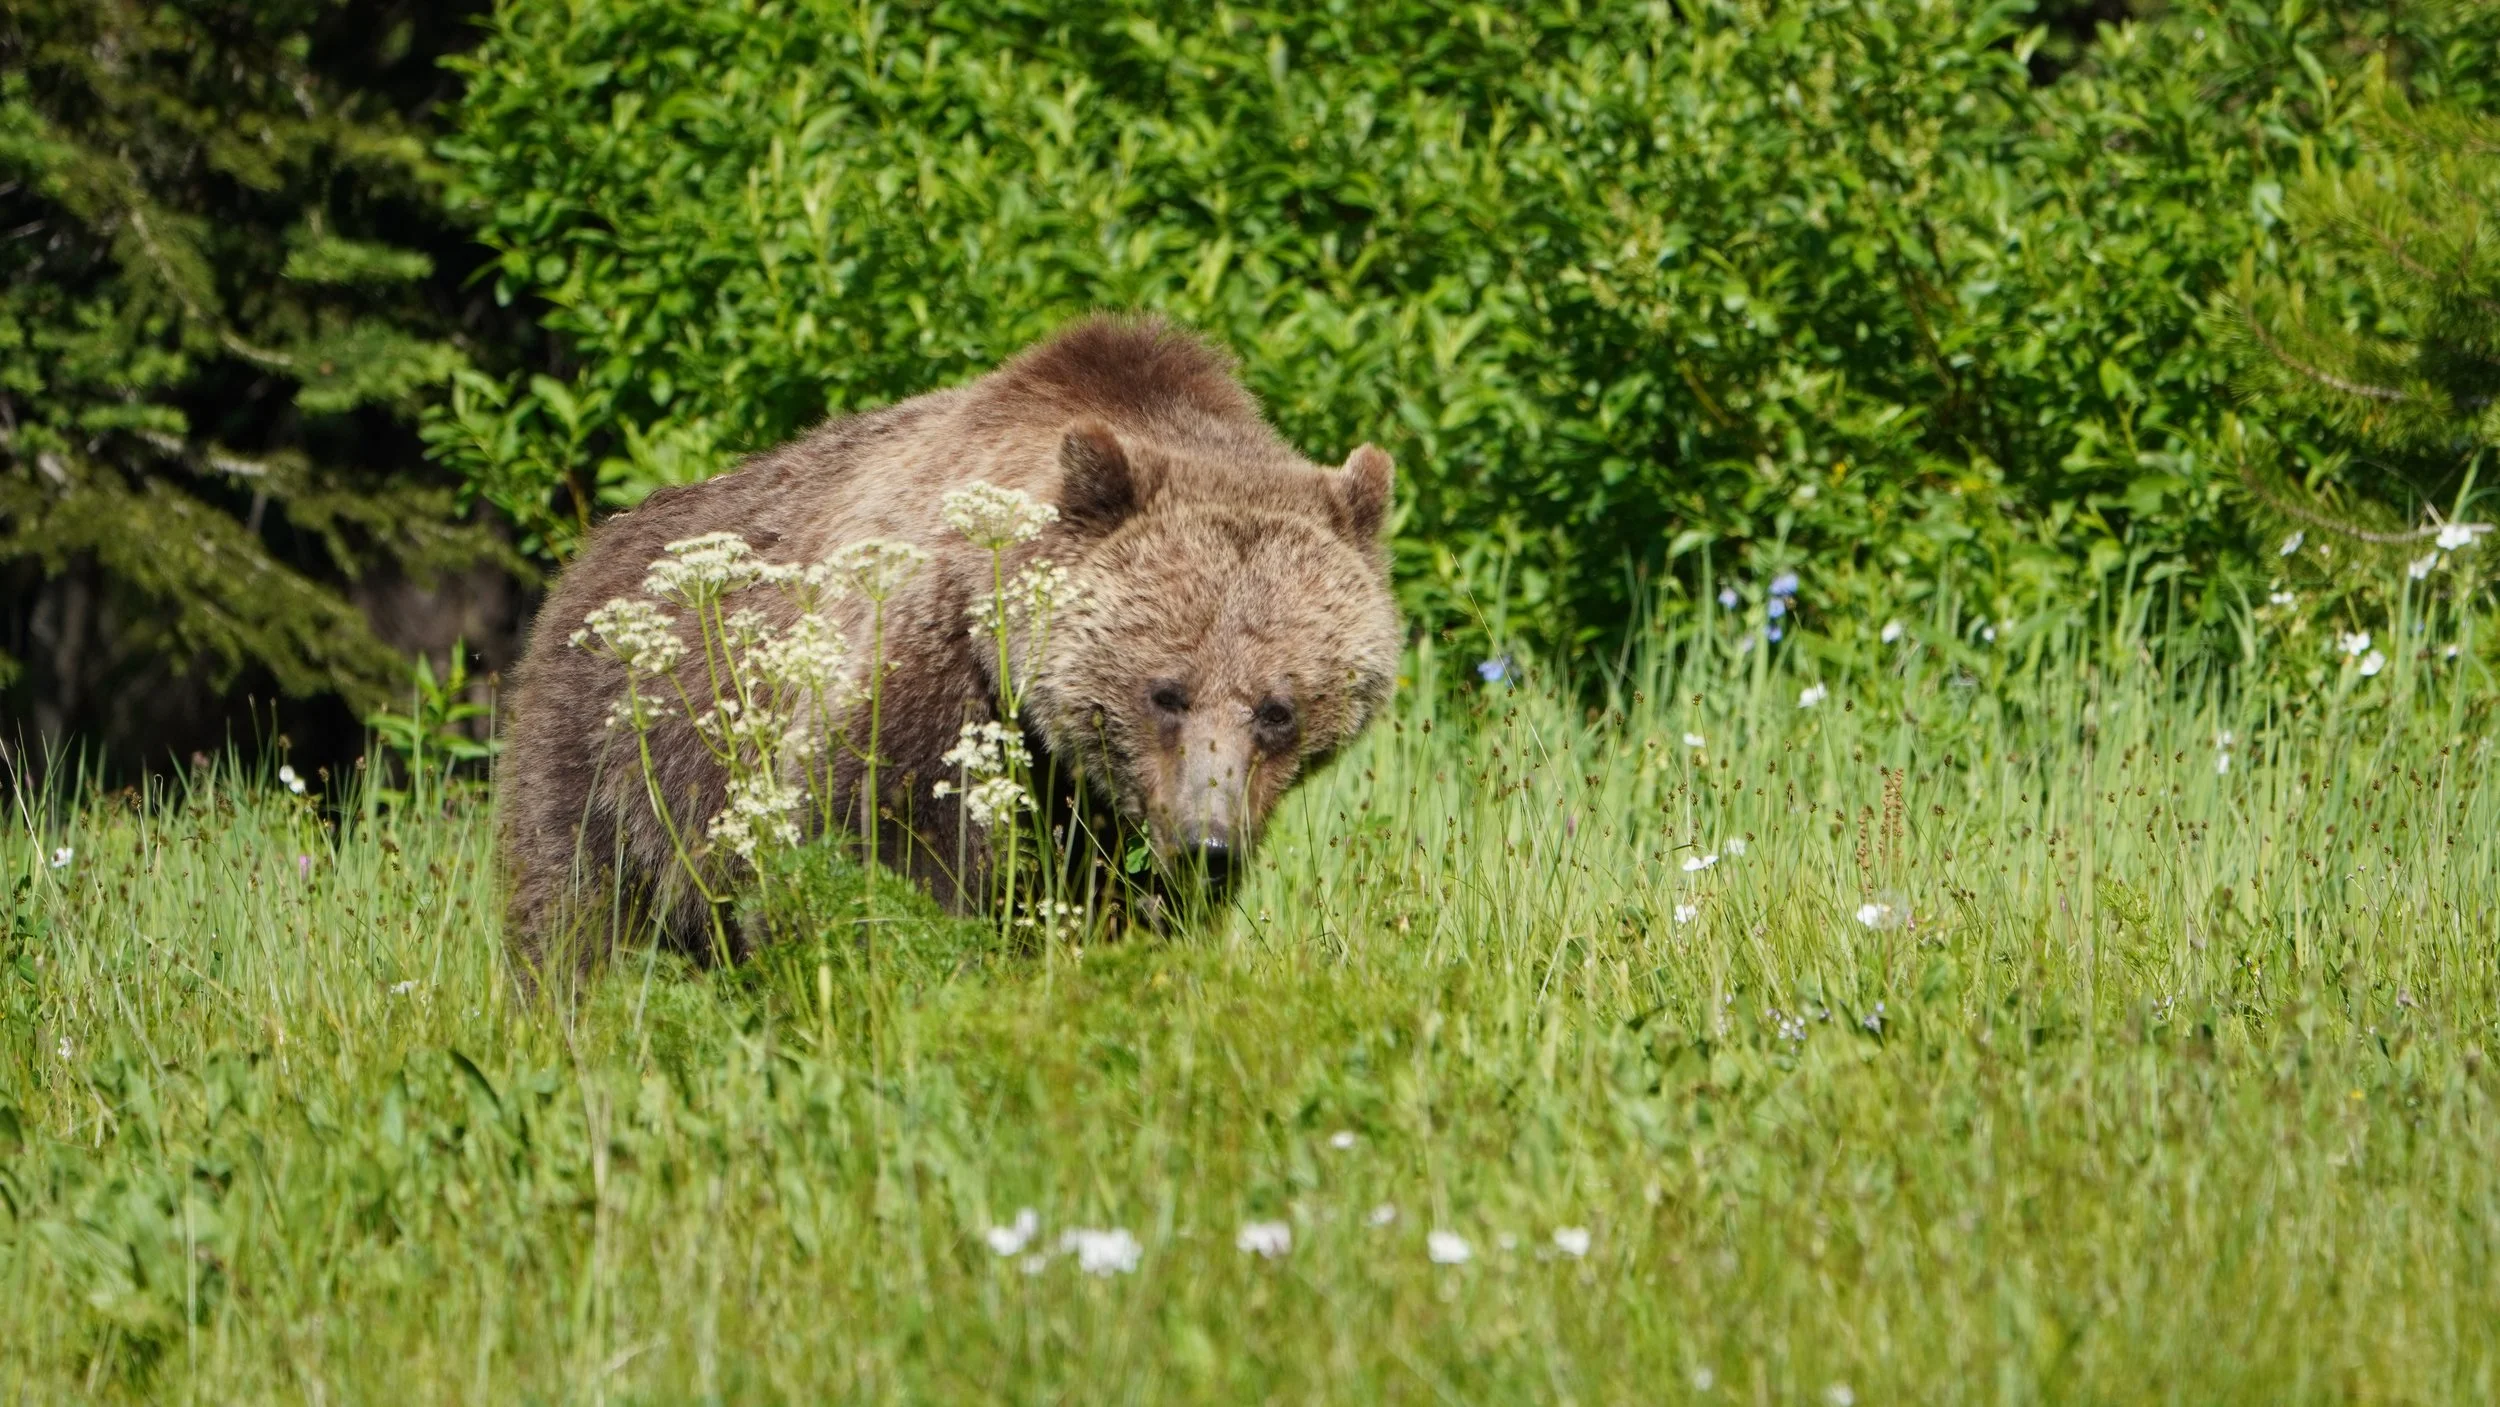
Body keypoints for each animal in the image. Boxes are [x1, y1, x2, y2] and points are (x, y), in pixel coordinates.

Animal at [498, 316, 1402, 978]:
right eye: (1166, 690)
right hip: (617, 754)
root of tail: (586, 555)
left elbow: (1127, 907)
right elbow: (878, 853)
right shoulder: (927, 670)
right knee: (578, 910)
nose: (1207, 840)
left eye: (1278, 708)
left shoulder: (1103, 811)